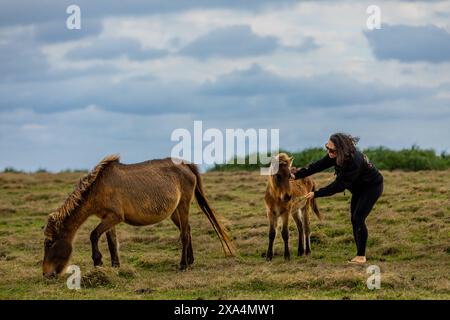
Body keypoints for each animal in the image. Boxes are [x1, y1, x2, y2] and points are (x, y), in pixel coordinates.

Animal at [42, 155, 236, 278]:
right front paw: (115, 266)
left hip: (183, 206)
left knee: (184, 235)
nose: (46, 274)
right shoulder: (107, 218)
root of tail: (185, 165)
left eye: (49, 243)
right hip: (174, 212)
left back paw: (182, 265)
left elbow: (94, 235)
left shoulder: (114, 217)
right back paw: (190, 261)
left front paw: (98, 262)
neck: (98, 187)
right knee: (187, 229)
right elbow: (111, 242)